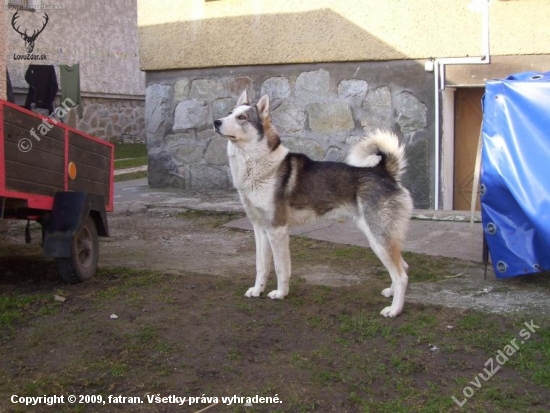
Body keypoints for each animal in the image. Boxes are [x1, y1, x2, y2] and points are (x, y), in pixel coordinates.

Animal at [216, 90, 414, 316]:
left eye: (242, 117)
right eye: (229, 113)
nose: (216, 122)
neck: (256, 165)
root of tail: (385, 171)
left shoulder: (277, 229)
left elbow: (281, 268)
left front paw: (280, 294)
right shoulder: (259, 229)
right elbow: (261, 266)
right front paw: (258, 291)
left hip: (378, 238)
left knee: (401, 275)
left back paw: (394, 310)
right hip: (380, 238)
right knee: (403, 266)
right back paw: (391, 293)